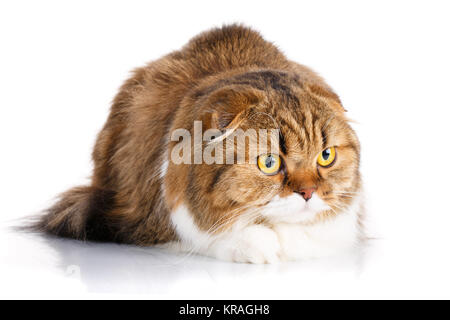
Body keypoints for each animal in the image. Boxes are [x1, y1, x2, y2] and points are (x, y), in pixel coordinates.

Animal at [31, 25, 364, 264]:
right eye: (269, 163)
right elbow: (217, 238)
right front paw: (256, 245)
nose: (309, 193)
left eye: (325, 156)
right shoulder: (150, 224)